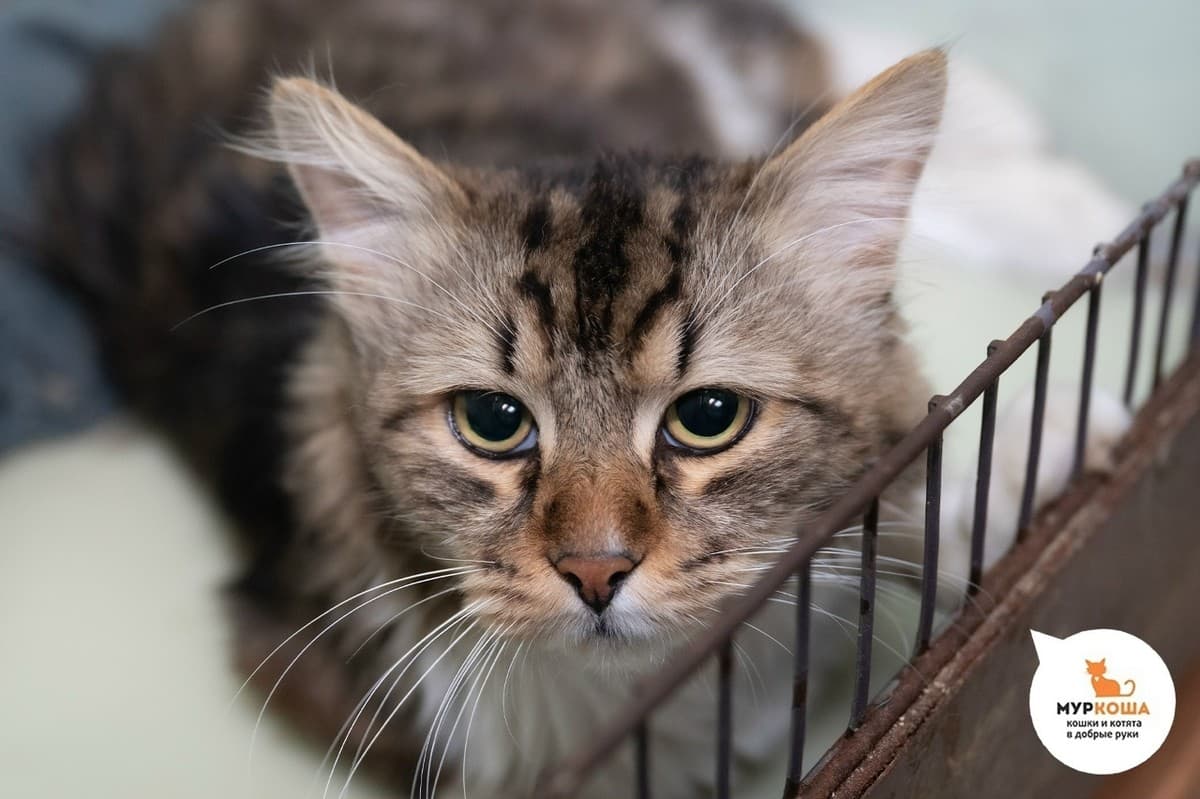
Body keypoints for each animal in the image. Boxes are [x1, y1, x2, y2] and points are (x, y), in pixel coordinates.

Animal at [33, 1, 1124, 797]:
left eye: (708, 417)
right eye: (493, 423)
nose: (596, 572)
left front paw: (1045, 450)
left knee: (795, 53)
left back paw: (1056, 182)